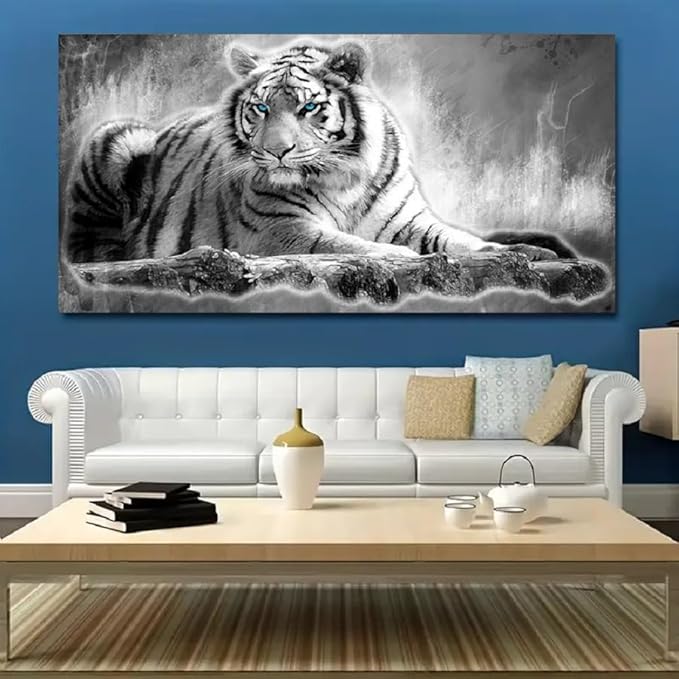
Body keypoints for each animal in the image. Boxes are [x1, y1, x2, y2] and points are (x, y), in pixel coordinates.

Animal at [65, 41, 566, 264]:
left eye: (308, 107)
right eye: (261, 107)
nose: (277, 152)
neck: (345, 180)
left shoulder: (410, 221)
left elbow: (459, 240)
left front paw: (520, 251)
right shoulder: (280, 231)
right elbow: (347, 244)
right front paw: (403, 259)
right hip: (117, 134)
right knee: (84, 248)